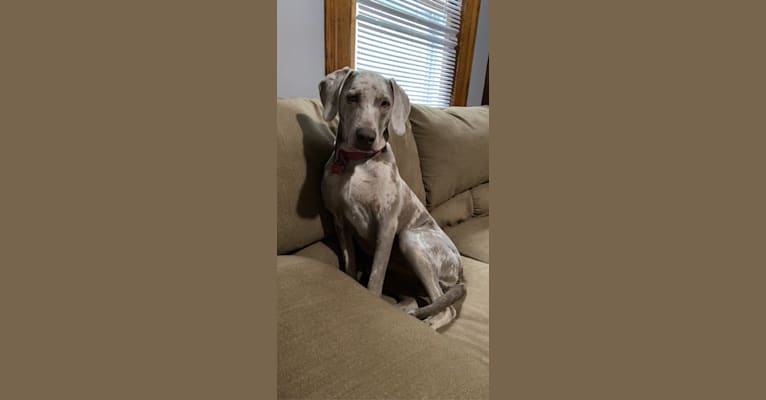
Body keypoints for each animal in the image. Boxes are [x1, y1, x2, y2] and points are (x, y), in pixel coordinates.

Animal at [320, 68, 464, 332]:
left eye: (385, 103)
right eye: (352, 97)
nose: (366, 136)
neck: (358, 162)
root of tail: (460, 269)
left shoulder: (386, 224)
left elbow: (375, 278)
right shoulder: (340, 220)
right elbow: (349, 263)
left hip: (411, 240)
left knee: (445, 306)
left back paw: (428, 323)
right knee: (414, 300)